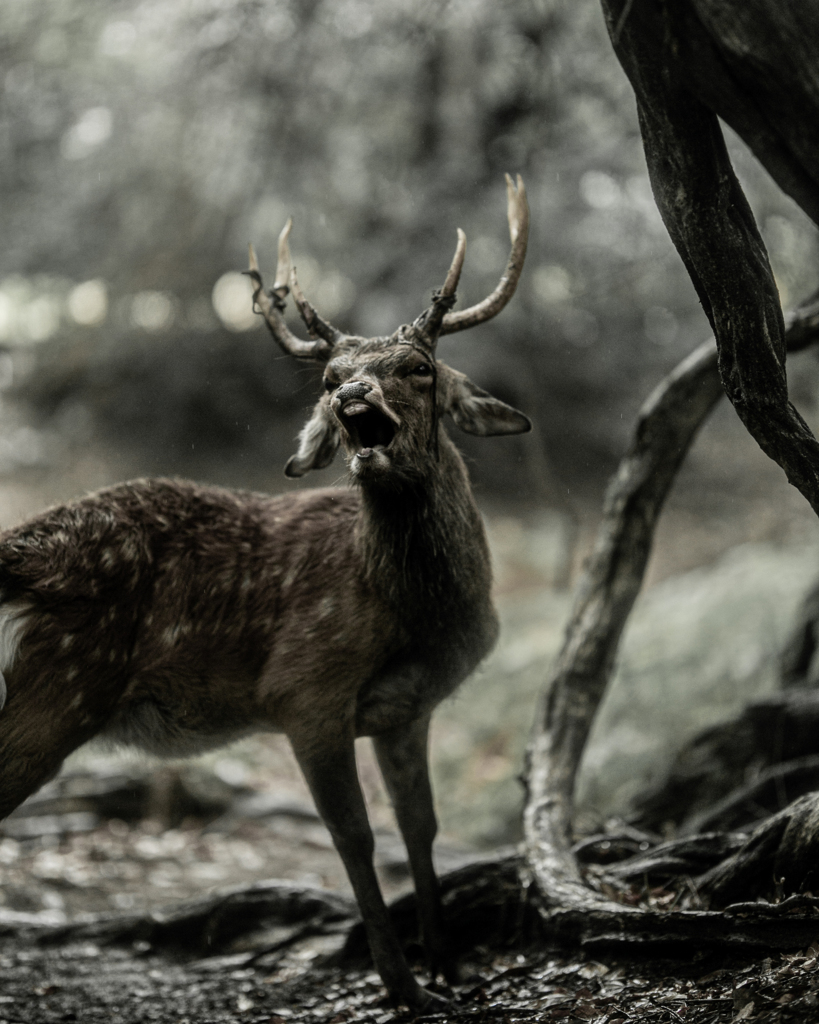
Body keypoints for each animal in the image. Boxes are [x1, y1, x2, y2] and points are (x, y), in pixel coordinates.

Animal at [0, 174, 532, 1007]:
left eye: (418, 367)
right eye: (326, 378)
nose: (349, 395)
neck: (420, 620)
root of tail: (17, 551)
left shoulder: (406, 708)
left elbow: (420, 827)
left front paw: (449, 966)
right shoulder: (305, 690)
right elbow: (353, 836)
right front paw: (401, 986)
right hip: (59, 684)